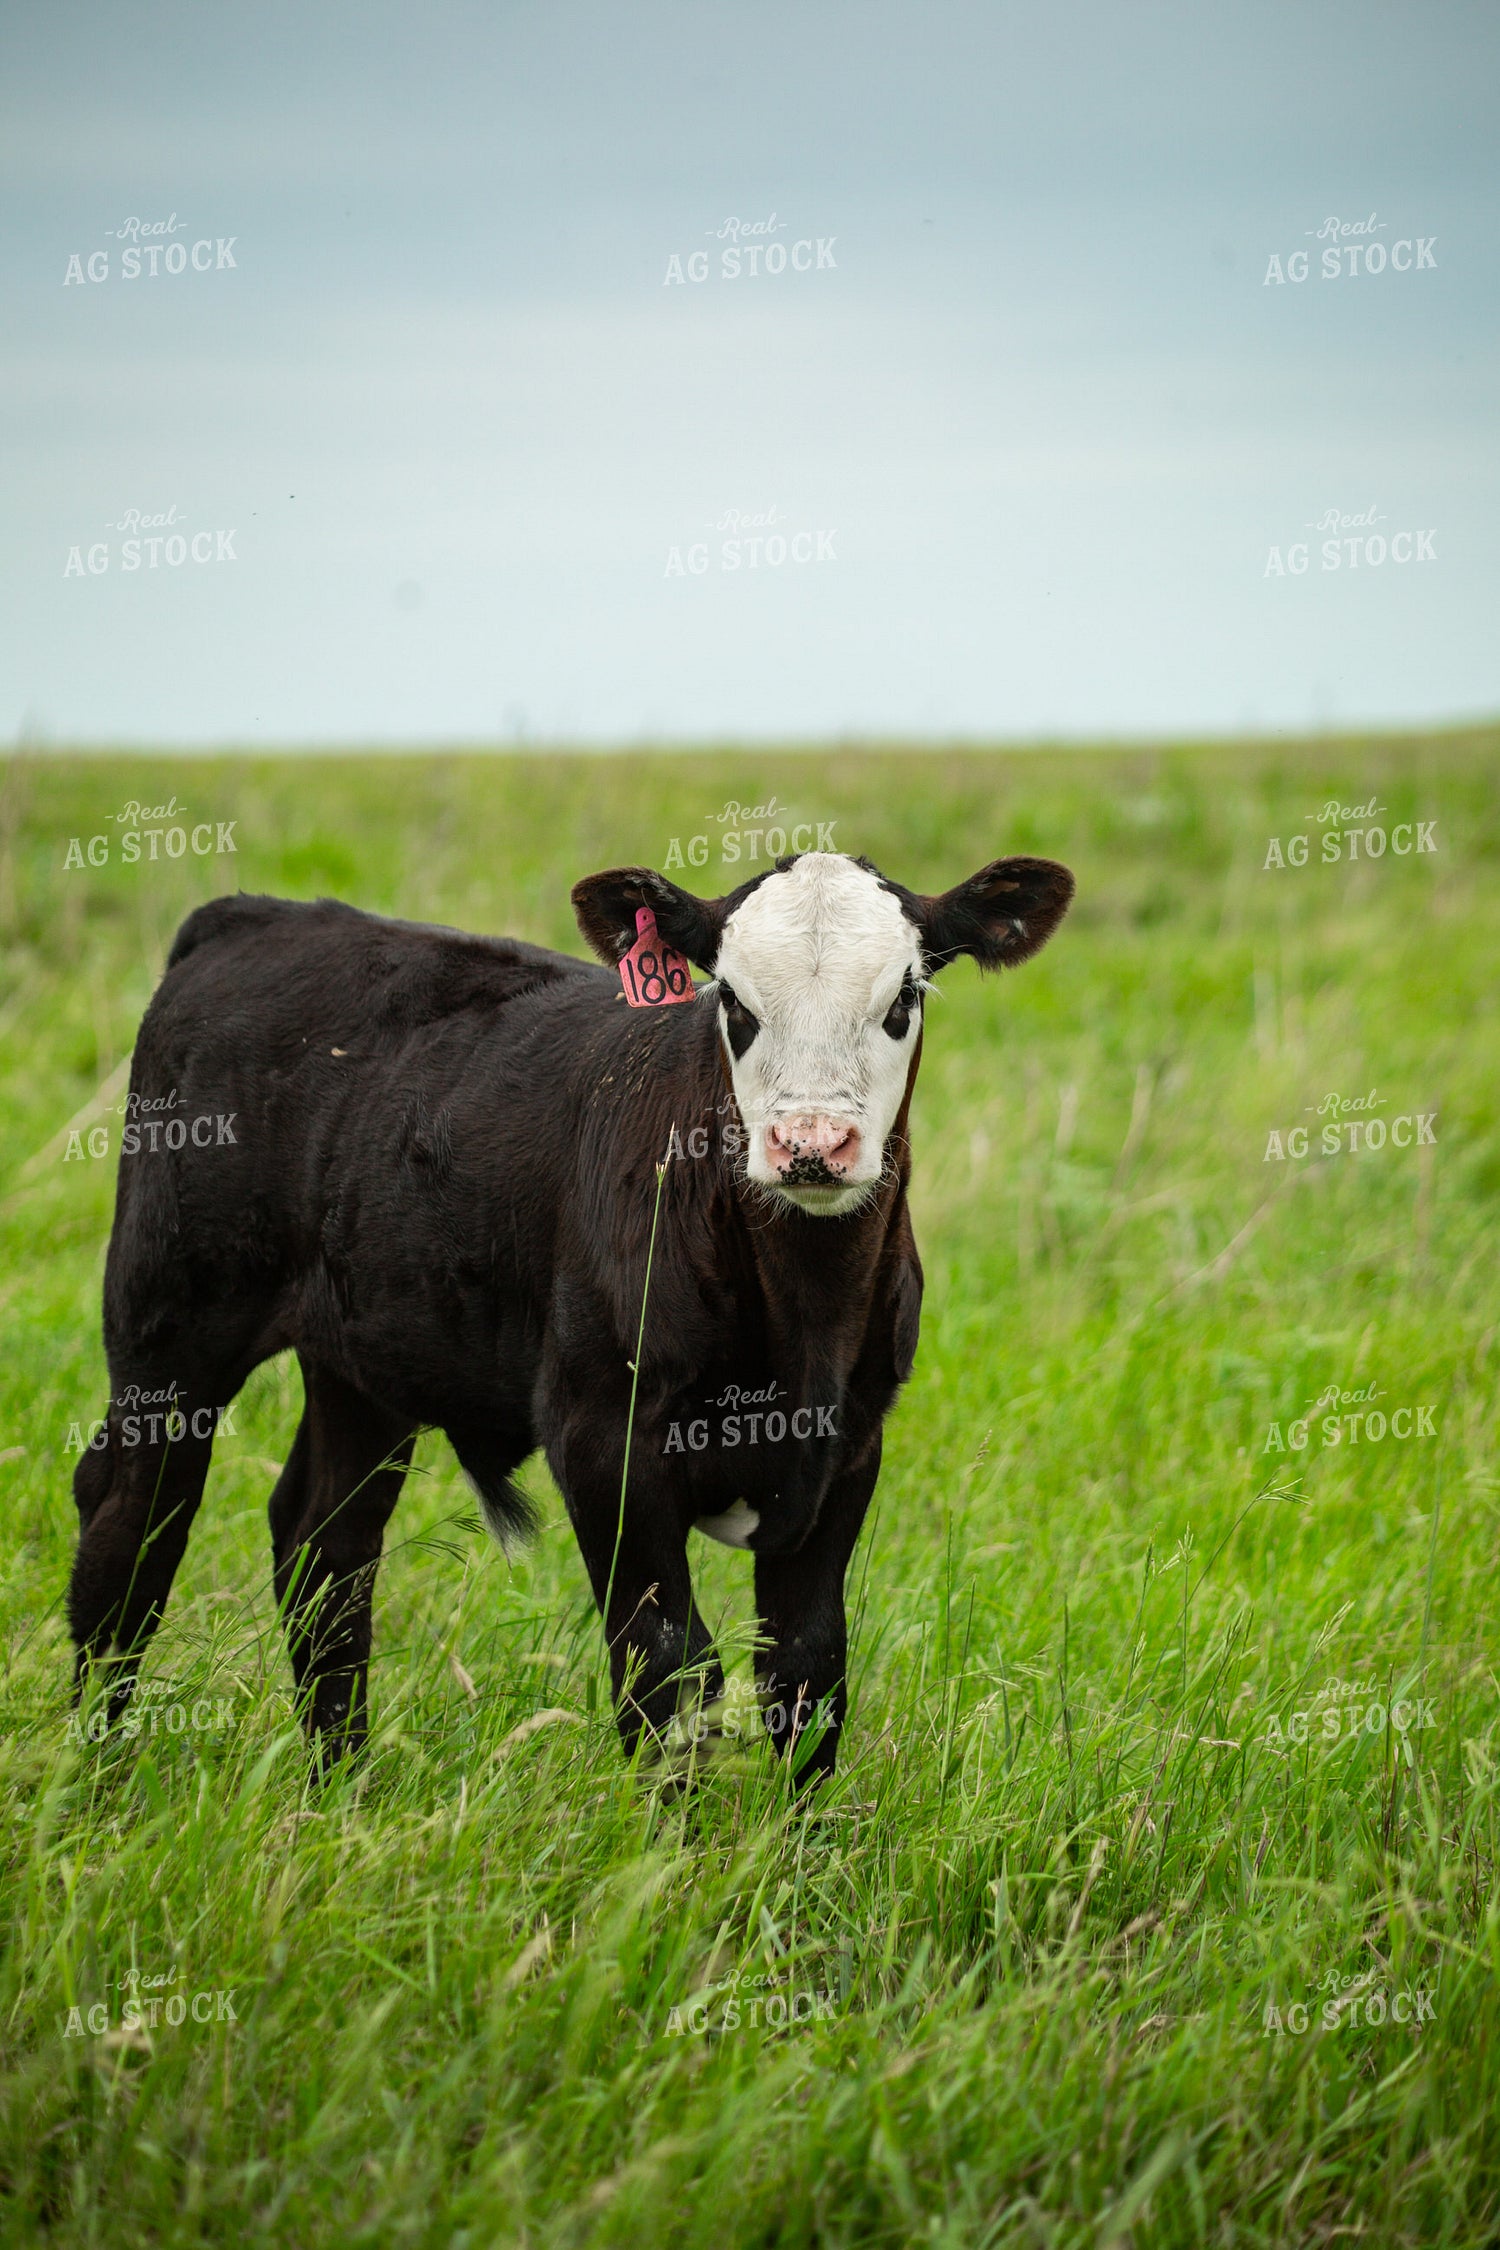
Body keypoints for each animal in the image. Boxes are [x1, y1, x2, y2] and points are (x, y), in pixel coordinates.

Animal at [67, 847, 1074, 1785]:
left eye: (904, 995)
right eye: (732, 1000)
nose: (812, 1144)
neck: (801, 1321)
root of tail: (256, 917)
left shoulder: (850, 1445)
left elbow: (807, 1672)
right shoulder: (601, 1434)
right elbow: (669, 1667)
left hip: (364, 1356)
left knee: (325, 1547)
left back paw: (340, 1792)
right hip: (170, 1331)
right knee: (130, 1528)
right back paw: (97, 1786)